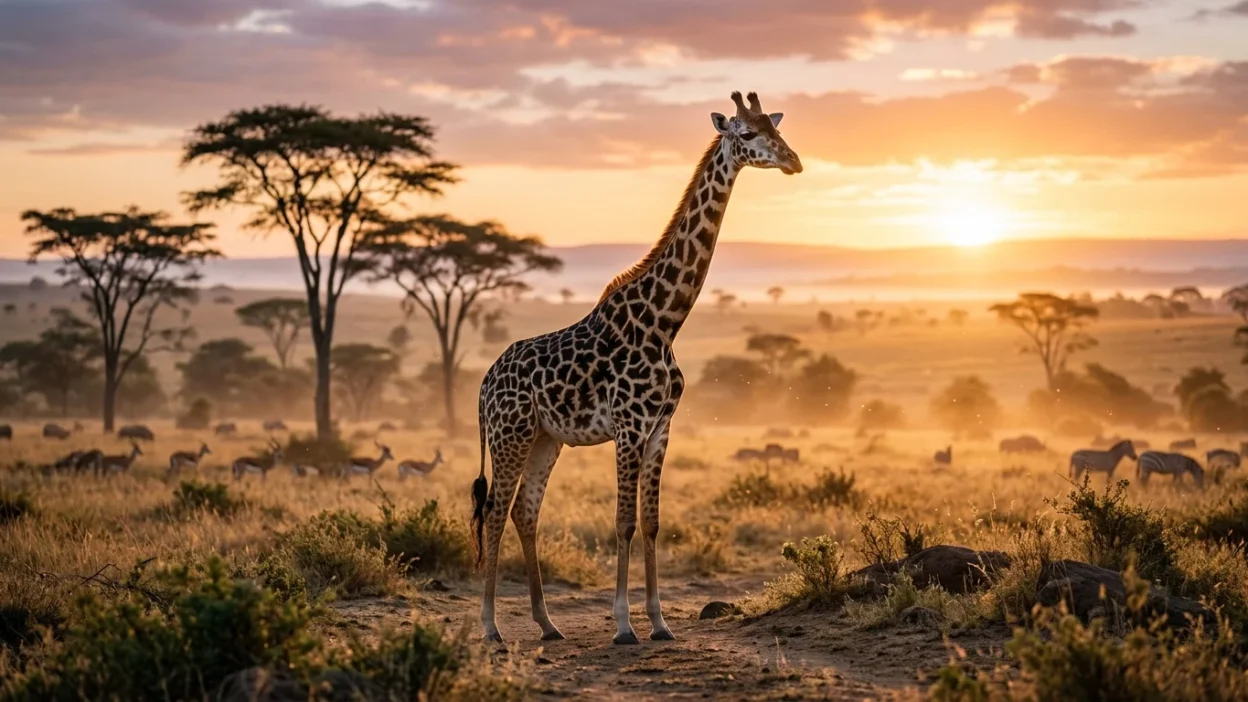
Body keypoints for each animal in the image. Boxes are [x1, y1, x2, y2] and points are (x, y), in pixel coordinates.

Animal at [472, 91, 802, 645]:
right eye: (747, 134)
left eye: (776, 128)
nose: (794, 161)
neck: (665, 322)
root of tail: (482, 386)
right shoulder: (628, 426)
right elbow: (623, 521)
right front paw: (624, 624)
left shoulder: (661, 427)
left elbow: (651, 522)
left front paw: (660, 622)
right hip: (510, 434)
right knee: (496, 511)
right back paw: (491, 627)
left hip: (545, 437)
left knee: (524, 510)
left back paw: (547, 623)